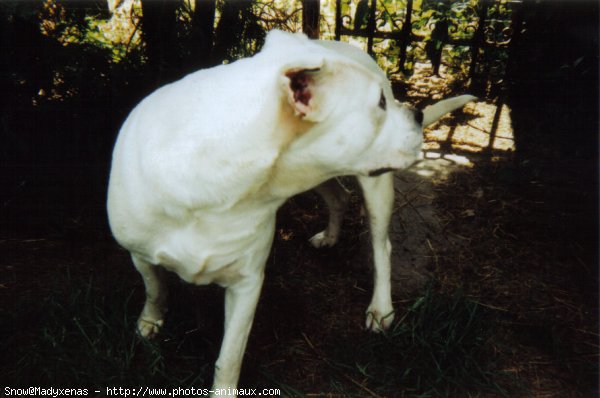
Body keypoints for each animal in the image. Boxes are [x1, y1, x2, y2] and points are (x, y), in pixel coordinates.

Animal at [106, 30, 474, 392]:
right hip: (319, 171)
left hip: (375, 188)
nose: (416, 114)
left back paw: (381, 308)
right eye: (380, 103)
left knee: (381, 247)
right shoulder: (140, 256)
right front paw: (150, 322)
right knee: (338, 196)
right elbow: (155, 288)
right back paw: (330, 236)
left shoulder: (246, 284)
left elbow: (229, 357)